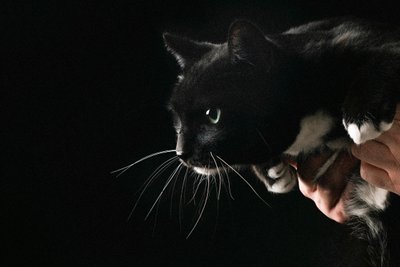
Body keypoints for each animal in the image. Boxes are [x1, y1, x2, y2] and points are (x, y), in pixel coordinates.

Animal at [162, 17, 400, 266]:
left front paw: (362, 116)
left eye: (213, 115)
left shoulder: (366, 40)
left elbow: (381, 57)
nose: (181, 152)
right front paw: (271, 172)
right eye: (177, 118)